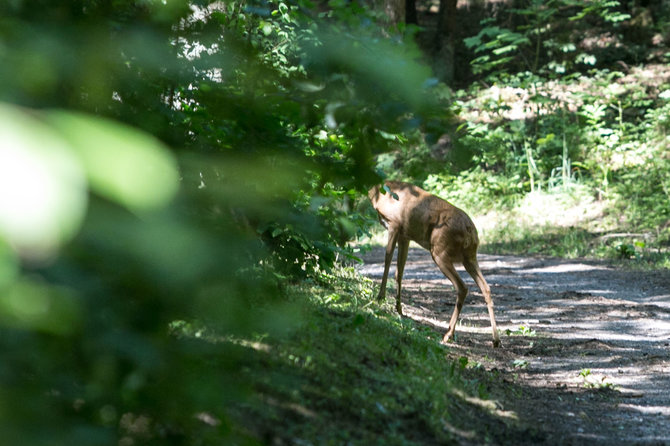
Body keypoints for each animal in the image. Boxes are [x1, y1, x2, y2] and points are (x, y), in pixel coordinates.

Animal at [370, 179, 502, 346]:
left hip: (440, 251)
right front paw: (398, 308)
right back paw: (495, 340)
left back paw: (448, 334)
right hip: (470, 257)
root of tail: (469, 230)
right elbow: (399, 271)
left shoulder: (394, 224)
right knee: (486, 288)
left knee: (462, 287)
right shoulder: (405, 235)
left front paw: (380, 297)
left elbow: (387, 259)